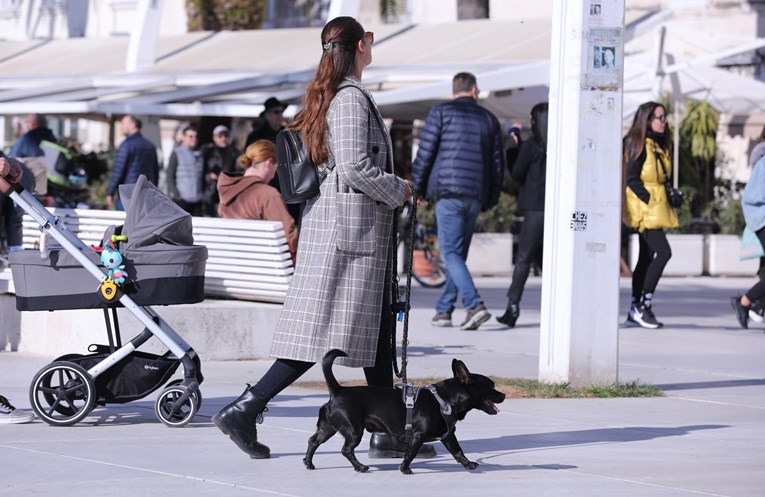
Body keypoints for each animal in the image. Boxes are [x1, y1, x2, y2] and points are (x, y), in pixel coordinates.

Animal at [302, 346, 504, 474]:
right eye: (491, 387)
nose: (503, 395)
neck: (445, 398)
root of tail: (338, 390)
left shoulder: (448, 435)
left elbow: (458, 451)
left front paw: (468, 464)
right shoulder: (418, 436)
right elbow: (411, 453)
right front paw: (405, 469)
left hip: (327, 429)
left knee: (313, 441)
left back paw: (308, 463)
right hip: (353, 430)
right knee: (346, 450)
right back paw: (360, 467)